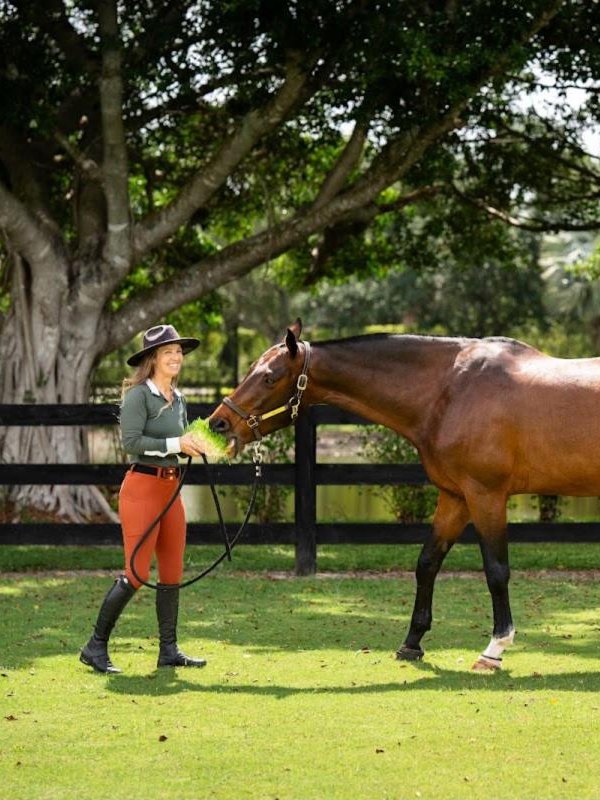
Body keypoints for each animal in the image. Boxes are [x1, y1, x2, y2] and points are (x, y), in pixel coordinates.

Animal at [208, 319, 600, 671]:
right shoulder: (455, 497)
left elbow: (496, 571)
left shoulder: (486, 496)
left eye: (269, 377)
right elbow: (427, 563)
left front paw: (494, 649)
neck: (452, 390)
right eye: (251, 369)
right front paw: (412, 643)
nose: (218, 423)